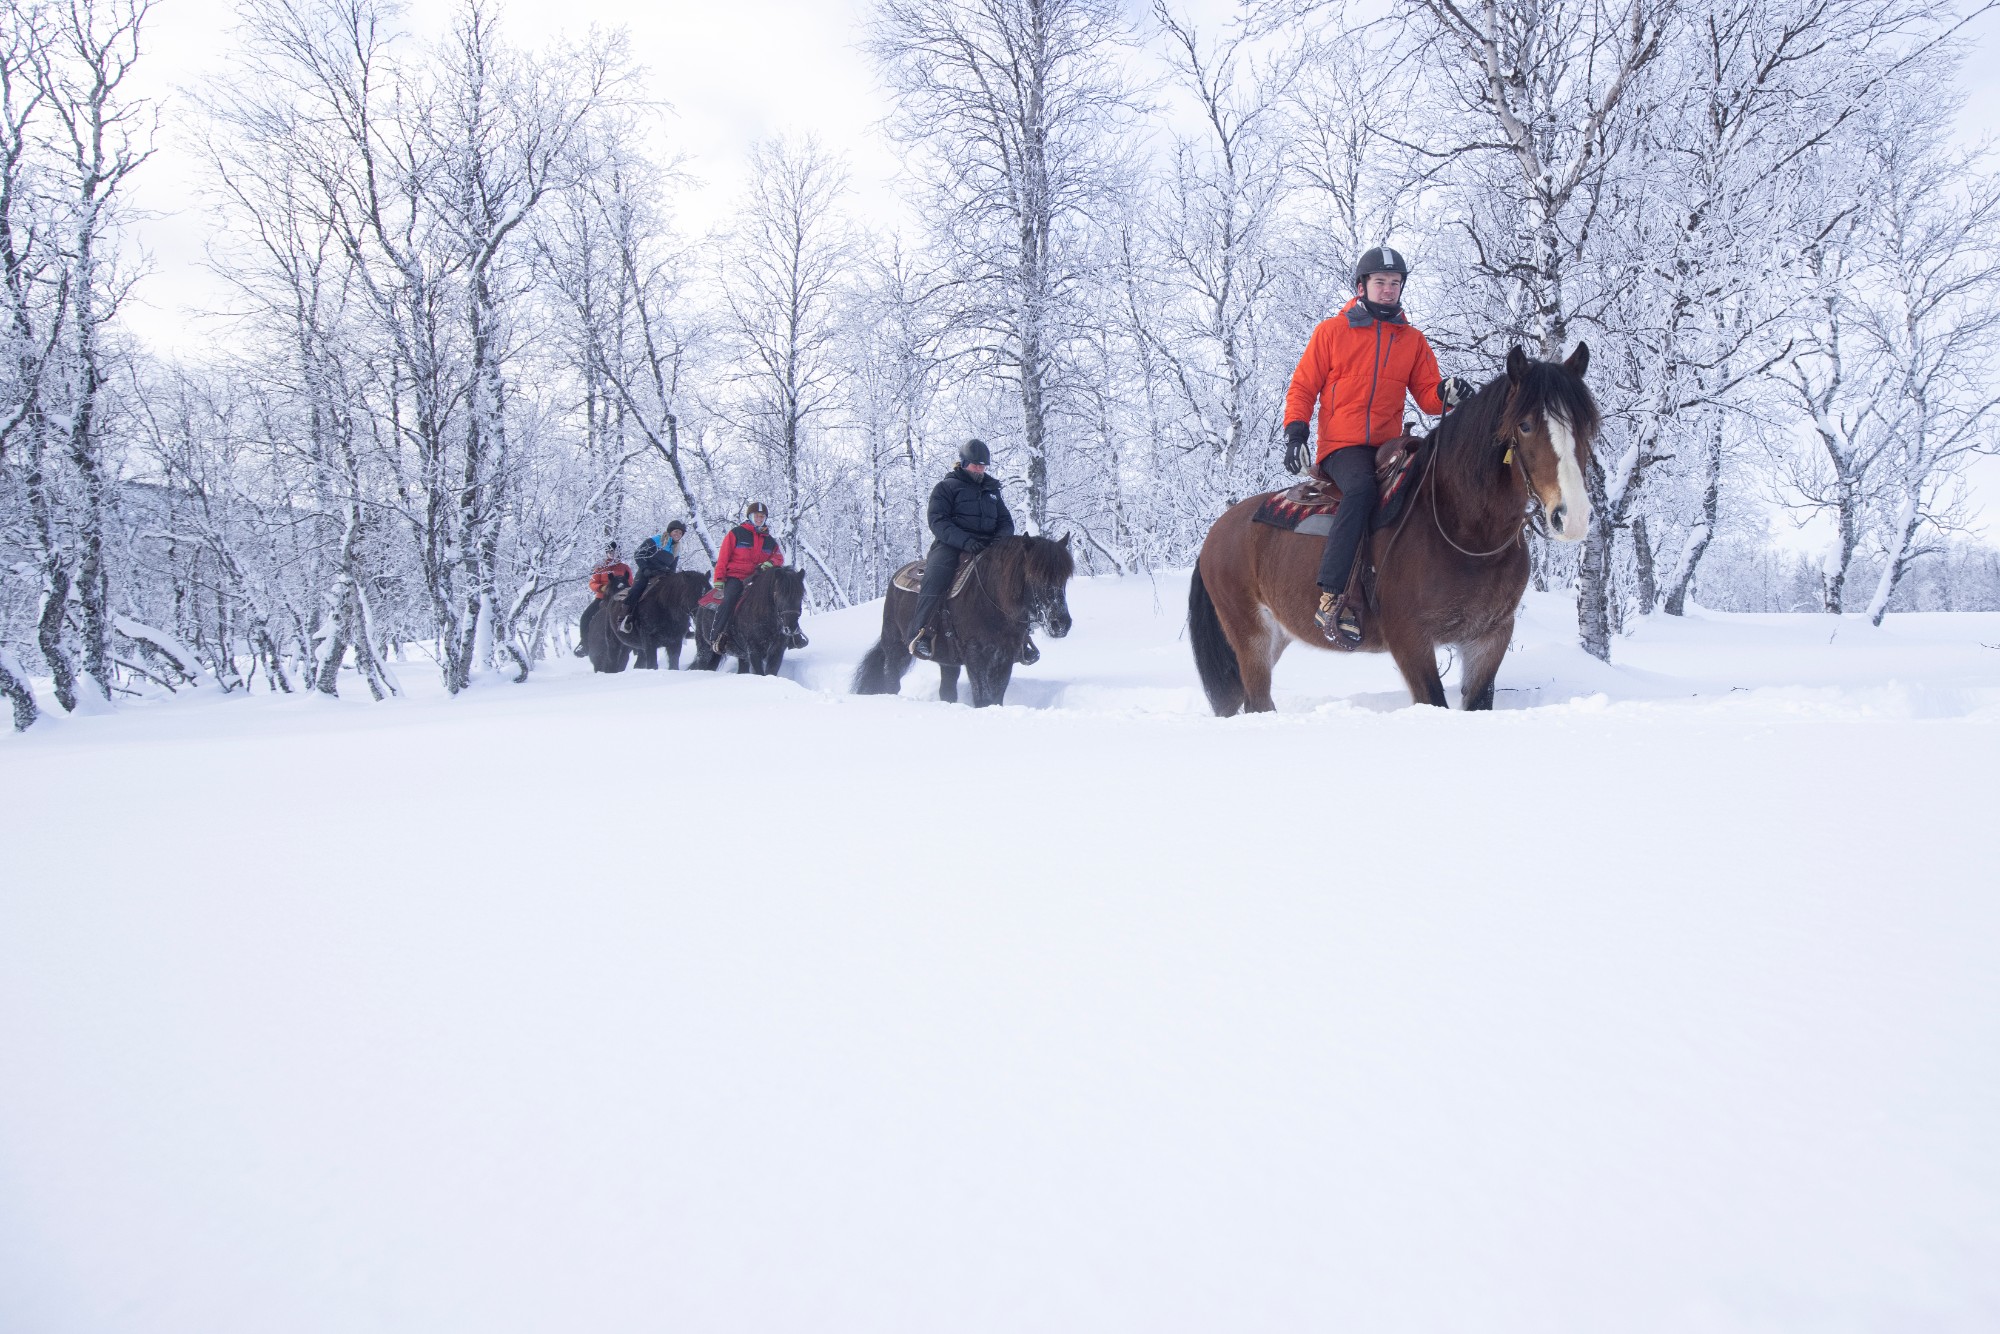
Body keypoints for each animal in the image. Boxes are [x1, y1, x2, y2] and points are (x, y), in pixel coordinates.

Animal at [856, 536, 1088, 708]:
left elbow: (996, 697)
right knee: (891, 681)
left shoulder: (1005, 657)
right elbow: (982, 698)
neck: (991, 601)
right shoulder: (975, 656)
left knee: (947, 690)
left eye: (1064, 578)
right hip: (896, 647)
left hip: (947, 660)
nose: (1061, 624)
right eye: (1033, 576)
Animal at [1184, 350, 1592, 716]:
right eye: (1524, 425)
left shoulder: (1490, 637)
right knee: (1258, 702)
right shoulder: (1410, 639)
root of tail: (1217, 531)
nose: (1572, 516)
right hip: (1249, 633)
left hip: (1276, 634)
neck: (1464, 530)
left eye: (1587, 424)